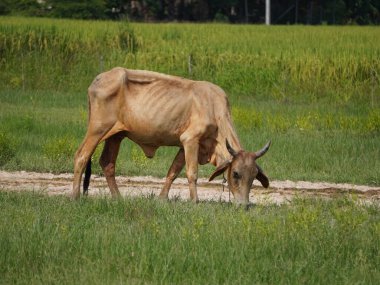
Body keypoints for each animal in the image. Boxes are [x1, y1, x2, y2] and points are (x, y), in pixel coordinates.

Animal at [72, 66, 270, 204]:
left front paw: (162, 198)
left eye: (254, 176)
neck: (214, 108)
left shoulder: (185, 146)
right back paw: (75, 196)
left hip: (116, 135)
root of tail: (98, 78)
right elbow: (192, 173)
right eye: (235, 173)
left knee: (107, 163)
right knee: (82, 156)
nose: (244, 205)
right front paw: (195, 201)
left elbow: (173, 172)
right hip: (97, 129)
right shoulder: (190, 140)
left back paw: (118, 198)